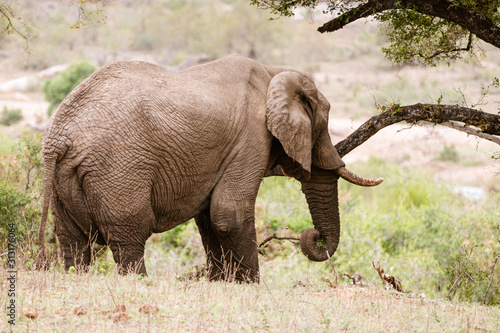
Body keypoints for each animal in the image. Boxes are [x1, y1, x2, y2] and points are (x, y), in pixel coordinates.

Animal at [38, 53, 382, 280]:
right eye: (322, 124)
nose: (313, 235)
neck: (273, 73)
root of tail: (59, 136)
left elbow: (209, 218)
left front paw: (220, 283)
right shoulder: (251, 137)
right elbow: (230, 213)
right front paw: (250, 287)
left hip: (62, 179)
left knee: (73, 241)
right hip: (118, 168)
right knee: (129, 236)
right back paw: (138, 282)